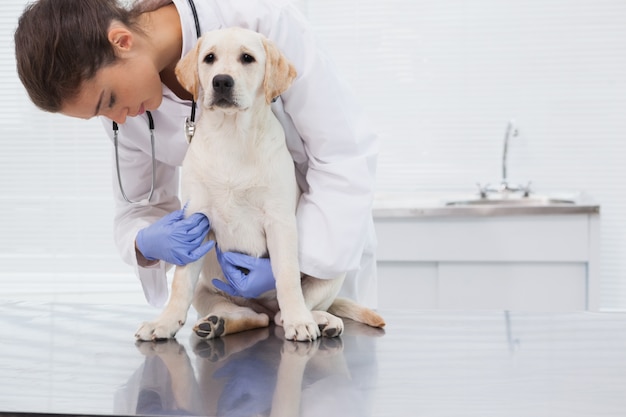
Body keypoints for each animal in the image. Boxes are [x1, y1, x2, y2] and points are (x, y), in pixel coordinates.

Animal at [134, 27, 382, 342]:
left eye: (247, 58)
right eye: (209, 58)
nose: (221, 81)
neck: (231, 135)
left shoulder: (279, 221)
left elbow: (287, 275)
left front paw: (299, 321)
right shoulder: (194, 223)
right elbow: (179, 284)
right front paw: (164, 322)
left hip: (332, 270)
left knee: (284, 313)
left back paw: (317, 319)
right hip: (208, 291)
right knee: (254, 317)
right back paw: (217, 323)